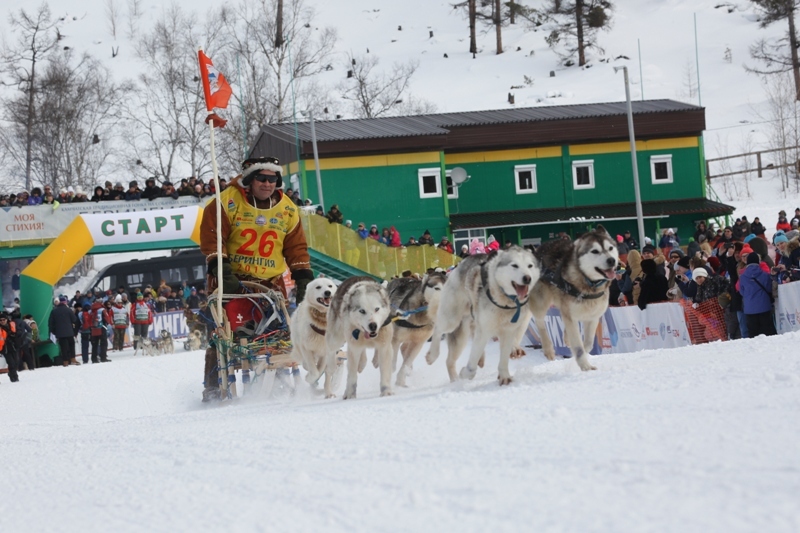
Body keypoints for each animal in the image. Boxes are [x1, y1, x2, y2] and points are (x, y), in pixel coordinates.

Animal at [424, 247, 536, 384]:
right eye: (514, 265)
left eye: (530, 266)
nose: (527, 278)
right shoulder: (486, 328)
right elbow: (472, 364)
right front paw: (466, 372)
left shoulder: (515, 325)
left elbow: (510, 345)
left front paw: (505, 372)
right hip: (452, 321)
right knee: (439, 331)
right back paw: (434, 357)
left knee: (452, 359)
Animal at [532, 224, 620, 370]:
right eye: (595, 251)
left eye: (610, 248)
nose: (611, 260)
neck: (589, 284)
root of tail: (538, 249)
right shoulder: (571, 317)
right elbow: (579, 347)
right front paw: (585, 366)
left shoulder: (592, 317)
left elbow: (588, 344)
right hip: (541, 302)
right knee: (540, 322)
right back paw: (548, 349)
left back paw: (566, 339)